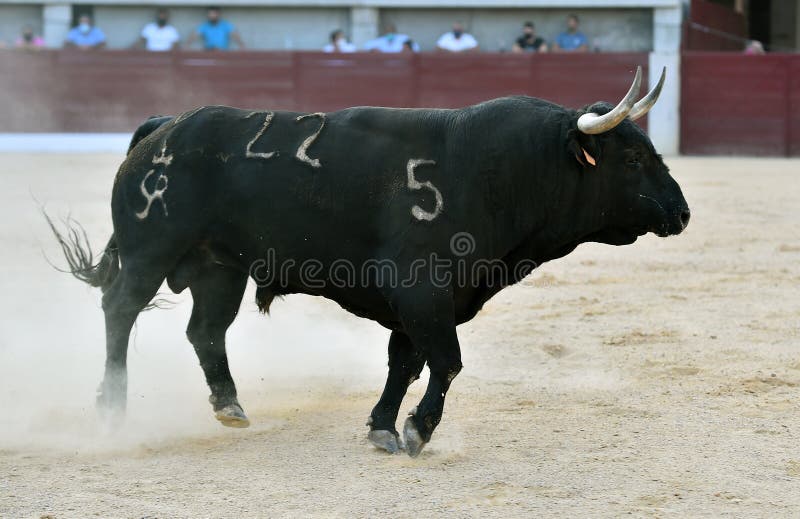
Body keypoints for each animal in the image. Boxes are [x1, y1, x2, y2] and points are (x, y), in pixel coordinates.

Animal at [48, 66, 689, 457]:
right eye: (632, 159)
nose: (682, 213)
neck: (495, 171)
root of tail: (164, 130)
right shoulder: (422, 291)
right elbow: (446, 362)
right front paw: (416, 430)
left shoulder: (420, 306)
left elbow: (404, 364)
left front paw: (382, 426)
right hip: (148, 252)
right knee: (120, 309)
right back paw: (112, 406)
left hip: (219, 269)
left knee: (205, 330)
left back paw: (229, 404)